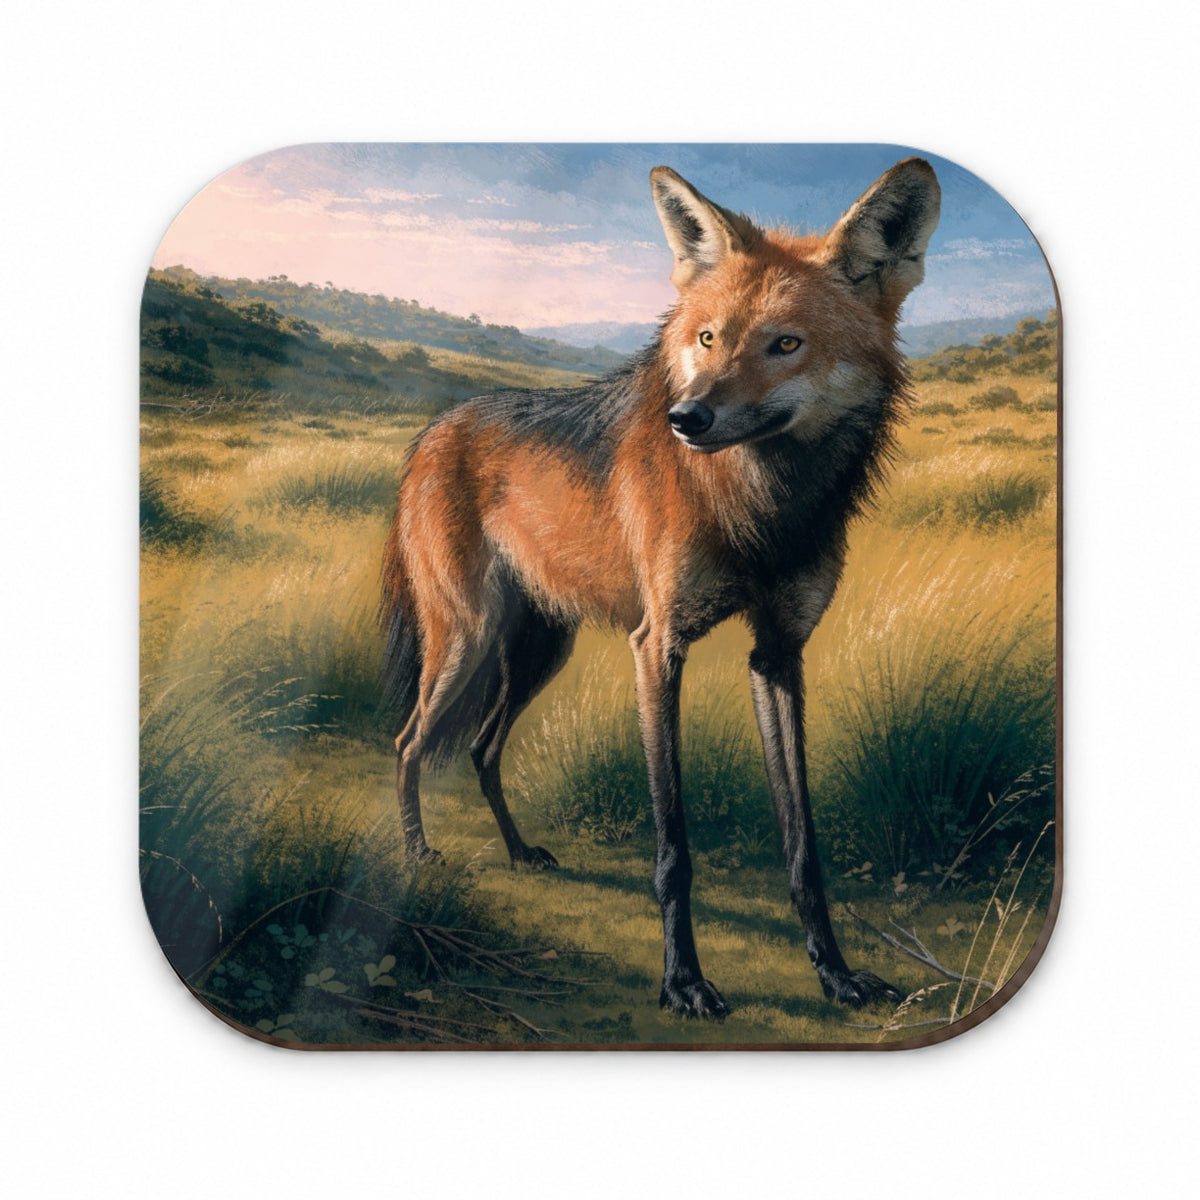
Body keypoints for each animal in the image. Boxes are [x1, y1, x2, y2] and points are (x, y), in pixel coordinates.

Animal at [381, 157, 940, 1016]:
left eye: (785, 344)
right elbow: (674, 850)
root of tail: (437, 428)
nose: (687, 417)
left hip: (540, 652)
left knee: (479, 748)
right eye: (708, 338)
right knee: (410, 744)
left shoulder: (778, 654)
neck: (762, 515)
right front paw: (683, 981)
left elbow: (803, 846)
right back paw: (416, 857)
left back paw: (518, 852)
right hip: (467, 641)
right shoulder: (658, 647)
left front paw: (836, 973)